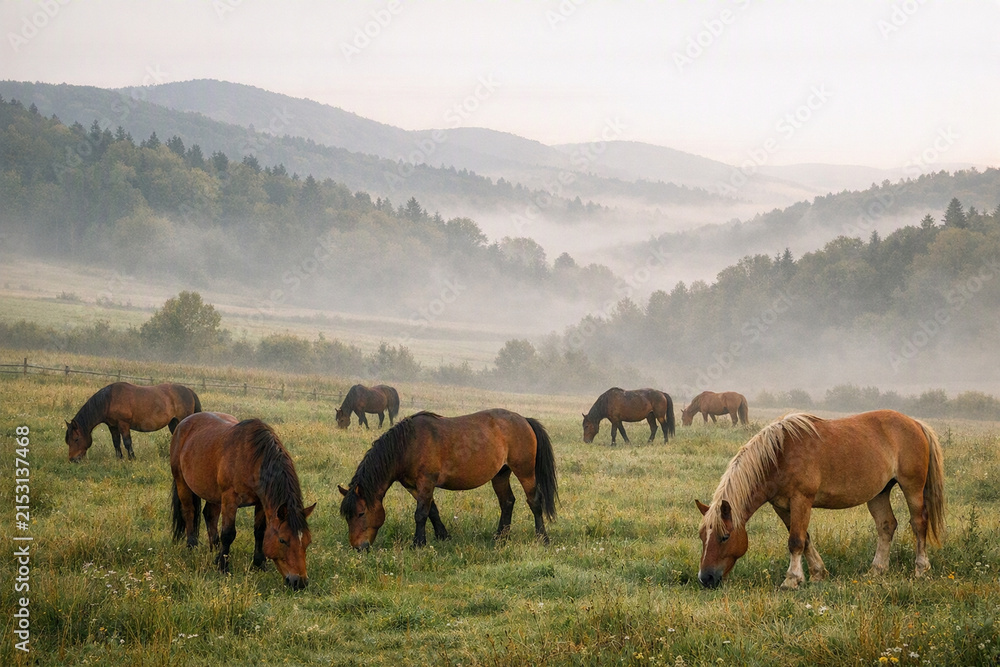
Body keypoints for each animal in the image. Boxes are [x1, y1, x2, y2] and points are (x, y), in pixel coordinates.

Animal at [65, 382, 201, 461]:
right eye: (68, 441)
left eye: (76, 439)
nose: (73, 459)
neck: (109, 400)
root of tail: (188, 390)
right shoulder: (112, 426)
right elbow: (116, 442)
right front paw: (119, 458)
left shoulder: (123, 424)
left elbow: (127, 442)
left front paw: (132, 458)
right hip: (173, 423)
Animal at [170, 412, 316, 589]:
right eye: (282, 540)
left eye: (307, 541)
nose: (299, 582)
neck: (252, 458)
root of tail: (183, 423)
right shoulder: (230, 499)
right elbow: (228, 533)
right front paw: (223, 567)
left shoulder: (261, 502)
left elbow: (260, 532)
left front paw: (259, 564)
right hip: (182, 482)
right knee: (189, 512)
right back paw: (192, 546)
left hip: (213, 493)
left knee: (209, 515)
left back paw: (215, 550)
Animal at [338, 409, 558, 549]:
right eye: (347, 517)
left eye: (360, 513)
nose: (358, 547)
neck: (408, 445)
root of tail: (524, 420)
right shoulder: (414, 487)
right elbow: (432, 511)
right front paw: (443, 536)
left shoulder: (426, 482)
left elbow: (420, 514)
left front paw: (418, 544)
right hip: (500, 474)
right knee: (507, 502)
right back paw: (500, 538)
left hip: (525, 472)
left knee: (534, 501)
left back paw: (543, 539)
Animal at [695, 410, 944, 590]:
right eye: (702, 537)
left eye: (725, 537)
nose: (705, 578)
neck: (778, 455)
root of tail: (915, 423)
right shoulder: (782, 506)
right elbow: (804, 539)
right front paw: (817, 573)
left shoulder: (801, 500)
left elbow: (796, 541)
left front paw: (791, 580)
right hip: (879, 493)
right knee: (886, 526)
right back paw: (877, 570)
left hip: (912, 487)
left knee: (918, 523)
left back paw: (921, 569)